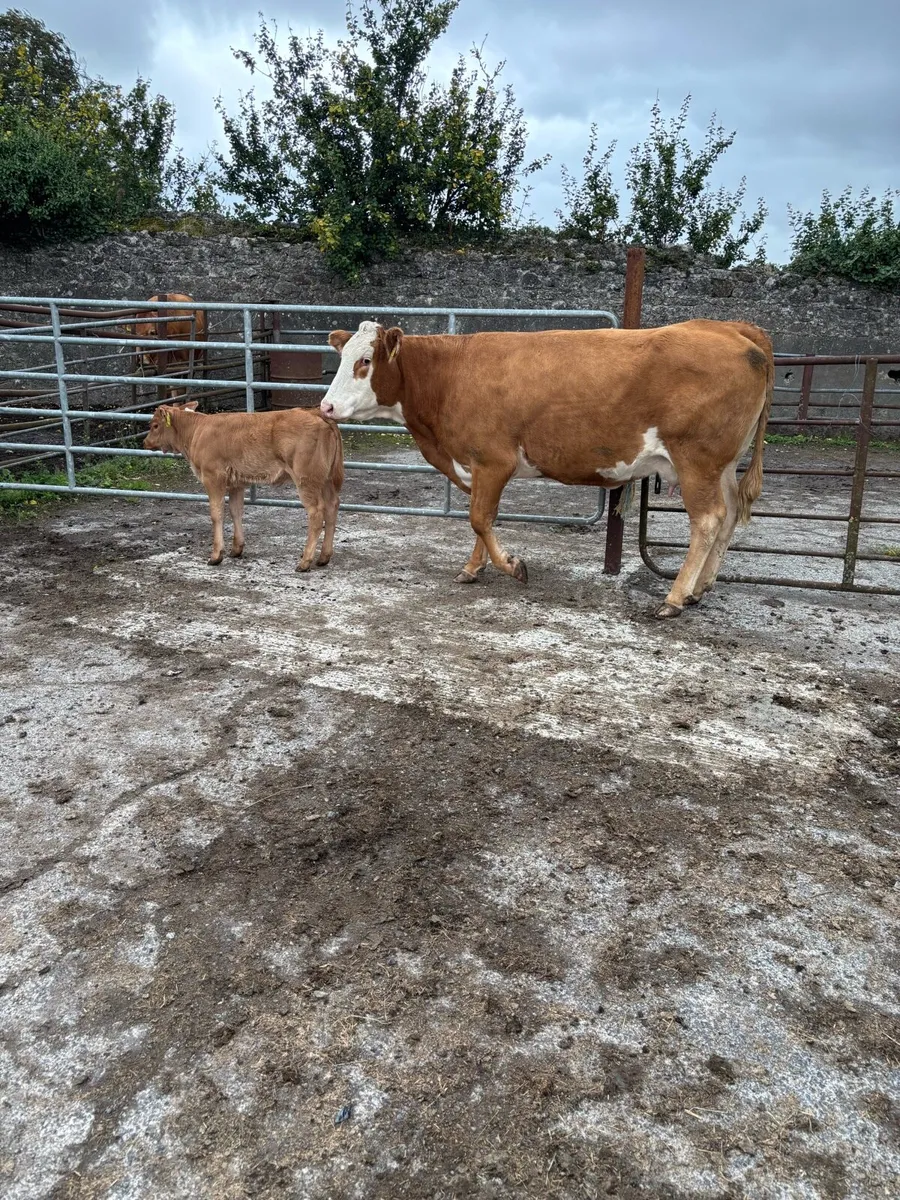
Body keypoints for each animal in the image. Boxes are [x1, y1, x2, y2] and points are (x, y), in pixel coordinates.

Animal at [143, 402, 344, 571]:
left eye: (155, 425)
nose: (145, 442)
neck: (197, 430)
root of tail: (314, 412)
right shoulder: (236, 484)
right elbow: (236, 511)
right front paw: (236, 549)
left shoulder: (213, 477)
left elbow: (216, 514)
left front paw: (216, 555)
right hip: (326, 480)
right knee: (332, 507)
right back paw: (324, 557)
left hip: (306, 479)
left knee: (316, 513)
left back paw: (305, 562)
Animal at [320, 319, 773, 617]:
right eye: (341, 359)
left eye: (365, 361)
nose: (326, 407)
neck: (448, 376)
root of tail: (730, 329)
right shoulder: (475, 467)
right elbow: (482, 519)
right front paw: (473, 568)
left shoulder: (493, 460)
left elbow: (479, 518)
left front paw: (511, 566)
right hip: (723, 464)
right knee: (730, 515)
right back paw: (701, 588)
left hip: (697, 460)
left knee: (708, 520)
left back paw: (675, 598)